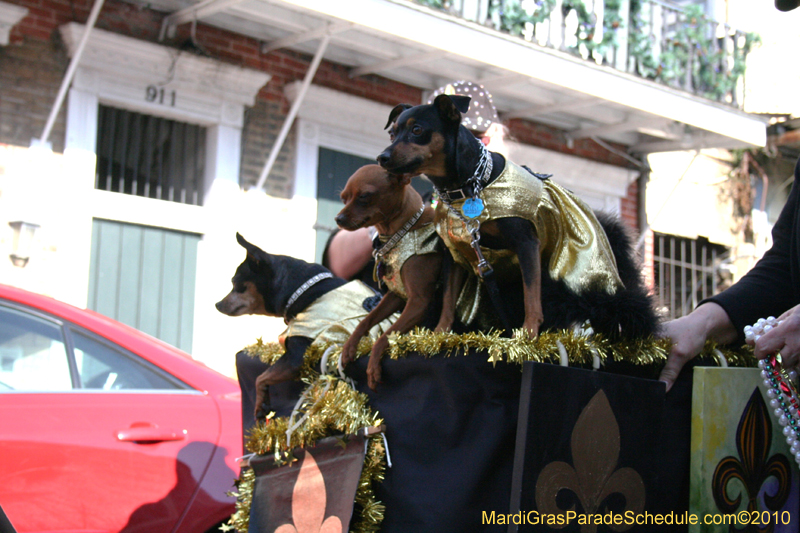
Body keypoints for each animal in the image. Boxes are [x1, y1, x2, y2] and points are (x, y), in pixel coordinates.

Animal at [332, 164, 440, 388]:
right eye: (343, 198)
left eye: (364, 196)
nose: (338, 219)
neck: (401, 233)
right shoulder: (395, 296)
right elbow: (366, 321)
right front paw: (348, 347)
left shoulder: (418, 302)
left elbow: (386, 336)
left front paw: (373, 367)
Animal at [378, 94, 660, 338]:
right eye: (392, 133)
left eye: (417, 130)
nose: (382, 157)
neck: (469, 187)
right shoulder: (454, 254)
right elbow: (448, 299)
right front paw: (438, 335)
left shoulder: (526, 245)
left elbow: (531, 296)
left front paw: (528, 335)